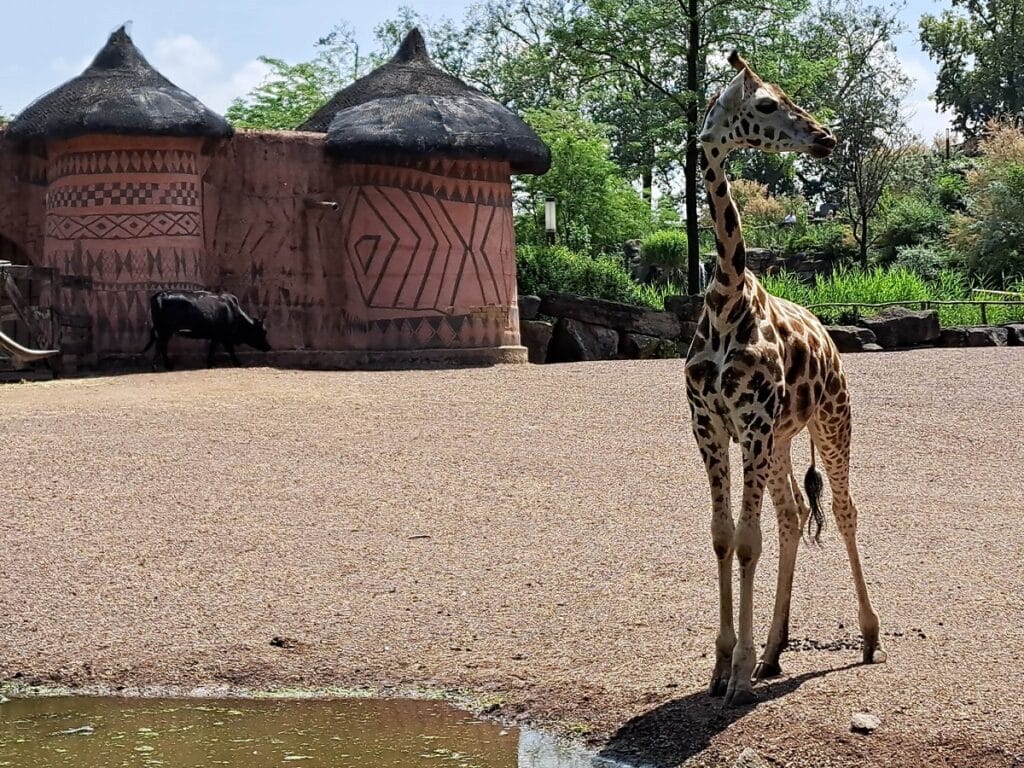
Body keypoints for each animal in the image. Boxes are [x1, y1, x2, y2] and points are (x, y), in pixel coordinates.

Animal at [684, 51, 884, 708]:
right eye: (767, 103)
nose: (825, 137)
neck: (724, 301)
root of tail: (830, 337)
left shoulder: (749, 420)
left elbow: (749, 541)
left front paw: (739, 674)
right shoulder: (710, 425)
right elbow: (725, 536)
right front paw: (724, 664)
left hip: (830, 422)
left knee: (844, 510)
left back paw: (869, 636)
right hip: (779, 441)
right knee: (795, 514)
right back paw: (775, 651)